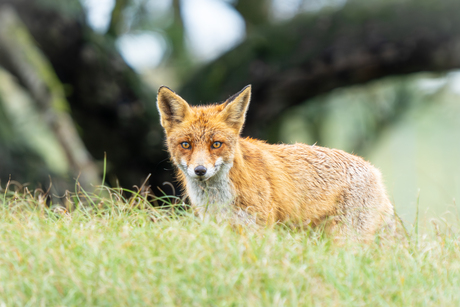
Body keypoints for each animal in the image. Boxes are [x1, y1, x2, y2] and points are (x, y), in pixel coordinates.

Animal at [157, 85, 396, 241]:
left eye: (216, 144)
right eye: (186, 144)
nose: (200, 170)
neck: (219, 198)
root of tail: (375, 172)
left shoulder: (259, 228)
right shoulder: (220, 227)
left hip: (345, 238)